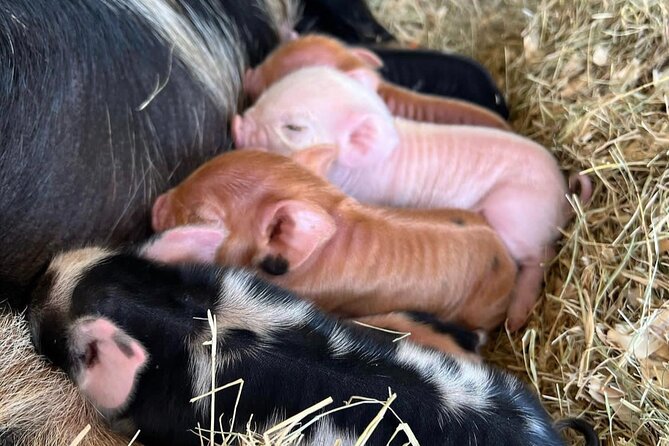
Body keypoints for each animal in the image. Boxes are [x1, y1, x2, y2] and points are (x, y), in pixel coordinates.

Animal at [232, 67, 594, 331]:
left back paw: (515, 319)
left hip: (516, 217)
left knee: (540, 256)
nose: (236, 123)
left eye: (294, 127)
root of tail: (563, 194)